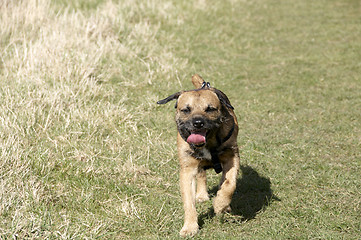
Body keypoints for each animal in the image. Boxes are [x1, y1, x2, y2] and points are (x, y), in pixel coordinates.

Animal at [155, 74, 238, 236]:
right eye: (186, 110)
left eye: (210, 109)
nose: (198, 122)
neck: (209, 142)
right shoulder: (187, 169)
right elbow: (188, 202)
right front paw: (190, 227)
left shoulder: (232, 157)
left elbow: (229, 183)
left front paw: (220, 204)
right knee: (201, 174)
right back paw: (201, 195)